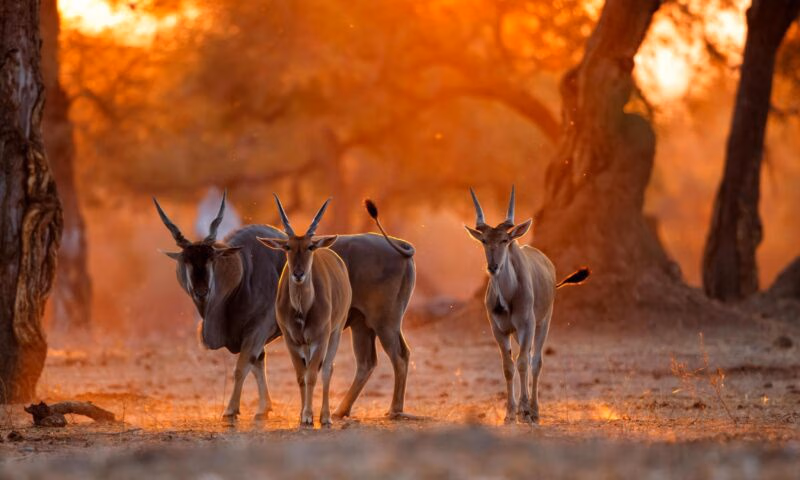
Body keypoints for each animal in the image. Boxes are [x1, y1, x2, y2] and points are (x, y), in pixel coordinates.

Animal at [153, 191, 286, 421]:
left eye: (211, 259)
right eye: (186, 260)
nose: (201, 291)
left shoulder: (257, 329)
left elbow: (242, 366)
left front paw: (231, 409)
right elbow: (258, 362)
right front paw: (264, 407)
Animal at [258, 195, 352, 427]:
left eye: (309, 246)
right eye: (287, 246)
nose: (298, 274)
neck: (302, 309)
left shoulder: (320, 337)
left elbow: (312, 375)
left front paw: (310, 415)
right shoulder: (291, 340)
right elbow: (301, 375)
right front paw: (303, 415)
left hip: (336, 331)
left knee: (327, 369)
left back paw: (325, 416)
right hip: (307, 343)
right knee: (311, 368)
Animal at [465, 186, 589, 424]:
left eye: (505, 240)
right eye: (484, 240)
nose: (493, 266)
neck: (507, 297)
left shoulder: (527, 325)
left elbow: (523, 363)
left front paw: (524, 411)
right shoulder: (499, 330)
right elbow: (508, 366)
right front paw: (509, 414)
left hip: (543, 323)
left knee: (535, 361)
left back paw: (535, 410)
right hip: (518, 332)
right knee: (527, 359)